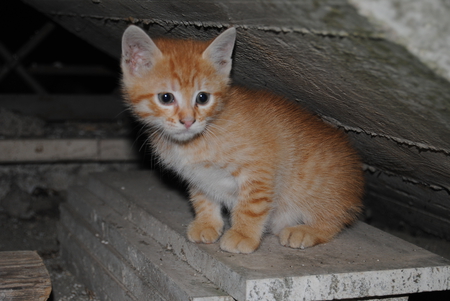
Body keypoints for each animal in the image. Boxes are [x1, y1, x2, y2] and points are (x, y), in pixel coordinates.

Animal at [120, 25, 366, 252]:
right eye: (166, 98)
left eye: (203, 98)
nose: (188, 121)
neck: (196, 139)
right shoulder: (198, 176)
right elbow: (203, 198)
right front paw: (207, 223)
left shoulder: (259, 168)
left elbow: (251, 206)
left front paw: (243, 234)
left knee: (334, 220)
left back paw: (307, 230)